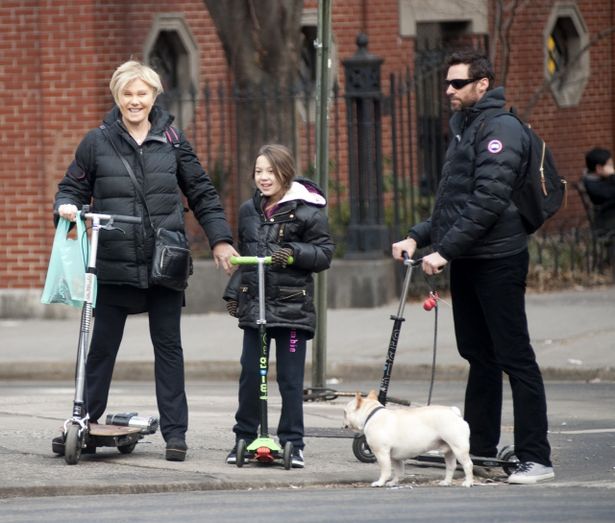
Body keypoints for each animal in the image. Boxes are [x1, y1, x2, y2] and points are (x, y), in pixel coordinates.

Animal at [344, 390, 474, 490]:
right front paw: (393, 482)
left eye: (345, 412)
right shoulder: (395, 457)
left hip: (459, 448)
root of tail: (454, 412)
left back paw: (468, 482)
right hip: (449, 450)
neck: (371, 414)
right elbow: (399, 471)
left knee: (468, 464)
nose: (344, 419)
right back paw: (446, 482)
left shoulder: (381, 453)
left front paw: (380, 483)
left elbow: (385, 470)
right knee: (451, 466)